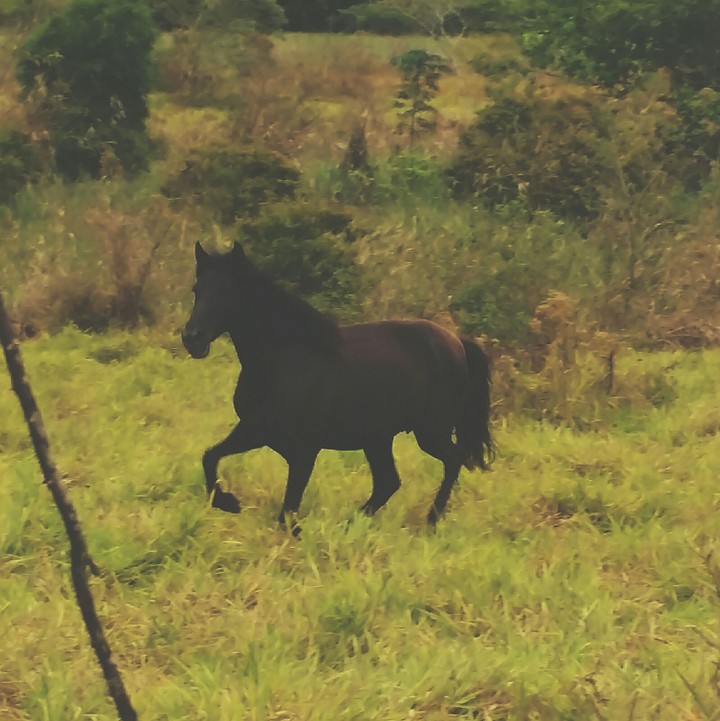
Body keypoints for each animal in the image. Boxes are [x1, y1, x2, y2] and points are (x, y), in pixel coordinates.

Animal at [181, 241, 493, 530]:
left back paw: (431, 520)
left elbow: (287, 511)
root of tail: (458, 343)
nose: (192, 338)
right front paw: (228, 502)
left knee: (453, 460)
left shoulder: (304, 450)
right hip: (378, 437)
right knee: (388, 482)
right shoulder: (253, 430)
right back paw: (351, 523)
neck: (281, 361)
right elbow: (210, 457)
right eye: (197, 290)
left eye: (228, 290)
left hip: (430, 432)